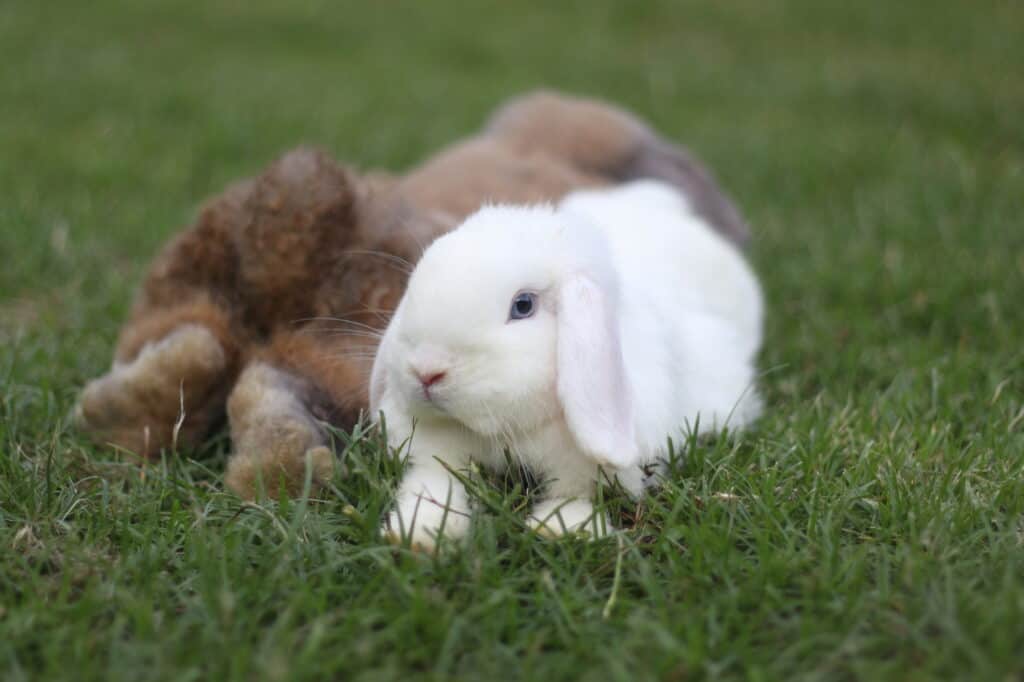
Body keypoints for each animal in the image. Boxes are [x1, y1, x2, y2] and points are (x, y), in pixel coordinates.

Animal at [368, 179, 761, 548]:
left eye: (523, 305)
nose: (426, 372)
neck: (509, 430)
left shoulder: (582, 467)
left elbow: (572, 495)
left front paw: (561, 531)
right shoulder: (437, 454)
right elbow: (434, 484)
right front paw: (416, 534)